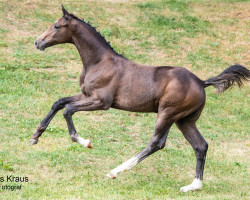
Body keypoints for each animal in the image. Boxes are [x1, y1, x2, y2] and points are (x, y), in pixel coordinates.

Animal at [31, 5, 250, 191]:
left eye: (56, 26)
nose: (37, 42)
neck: (99, 62)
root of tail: (201, 82)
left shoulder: (101, 102)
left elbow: (68, 110)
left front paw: (84, 142)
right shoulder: (86, 95)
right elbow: (59, 102)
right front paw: (35, 136)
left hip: (167, 114)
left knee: (157, 143)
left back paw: (115, 171)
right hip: (184, 120)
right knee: (200, 145)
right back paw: (193, 186)